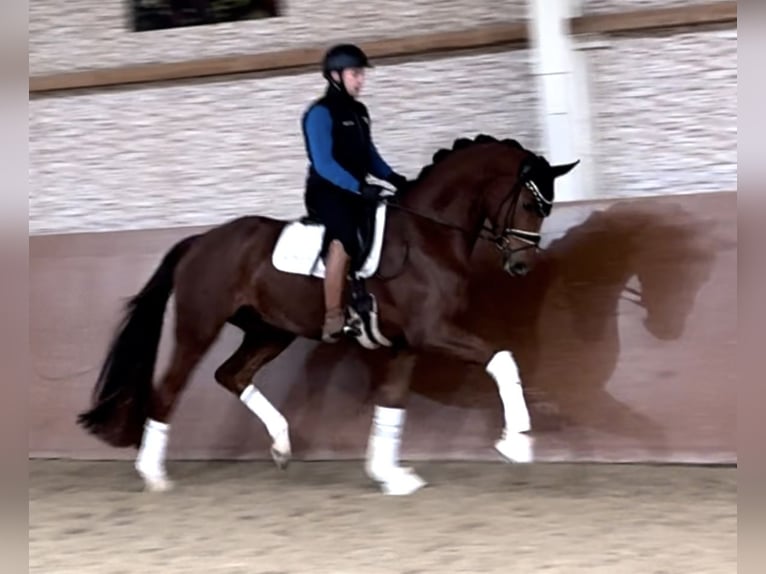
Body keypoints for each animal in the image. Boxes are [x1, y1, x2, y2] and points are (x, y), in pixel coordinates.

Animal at [78, 134, 580, 496]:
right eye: (531, 204)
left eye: (547, 207)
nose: (521, 266)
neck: (428, 235)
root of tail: (200, 241)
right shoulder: (433, 332)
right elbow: (503, 358)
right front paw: (517, 443)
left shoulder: (405, 344)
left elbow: (391, 404)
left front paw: (389, 475)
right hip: (199, 326)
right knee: (170, 387)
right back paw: (154, 475)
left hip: (270, 331)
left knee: (232, 375)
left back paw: (281, 444)